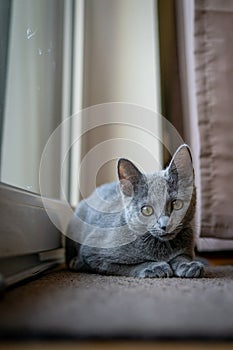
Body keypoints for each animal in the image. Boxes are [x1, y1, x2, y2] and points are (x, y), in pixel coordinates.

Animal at [65, 144, 204, 278]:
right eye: (147, 210)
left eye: (176, 204)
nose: (165, 225)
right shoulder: (94, 252)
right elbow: (124, 267)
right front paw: (154, 267)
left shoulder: (187, 248)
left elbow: (182, 256)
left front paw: (188, 265)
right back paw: (76, 262)